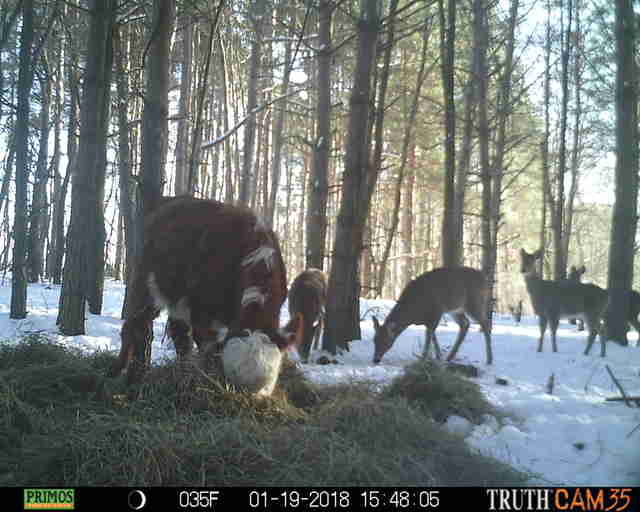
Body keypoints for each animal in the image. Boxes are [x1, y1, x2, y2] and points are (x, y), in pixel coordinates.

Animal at [110, 196, 303, 394]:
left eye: (264, 390)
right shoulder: (201, 310)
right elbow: (206, 347)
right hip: (145, 283)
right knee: (133, 324)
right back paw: (118, 371)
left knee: (177, 333)